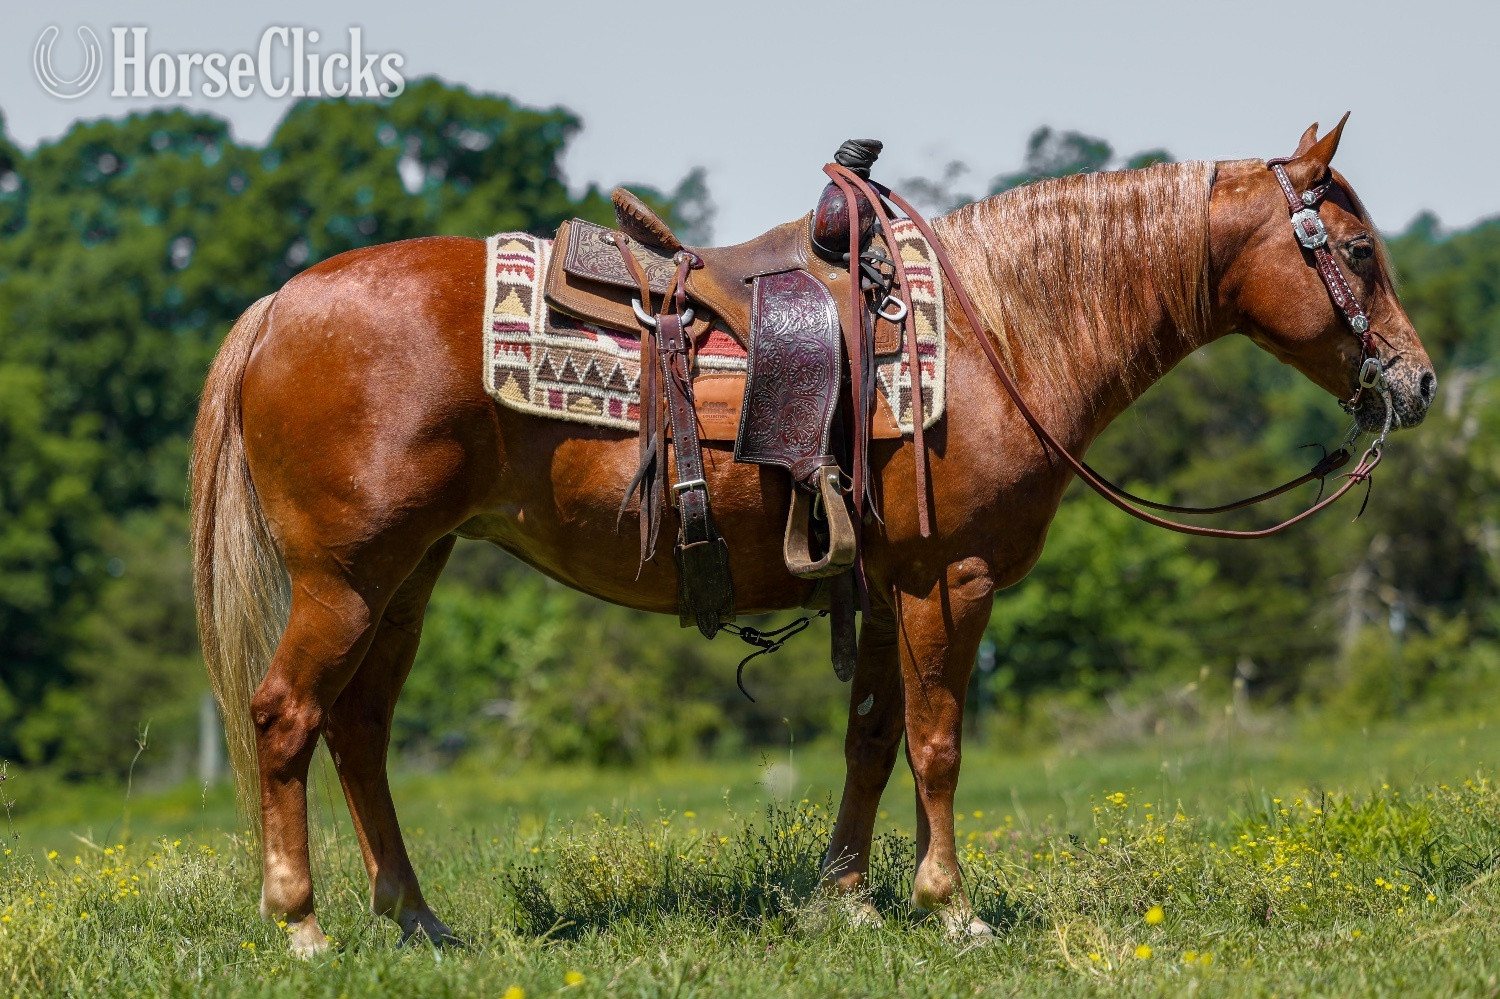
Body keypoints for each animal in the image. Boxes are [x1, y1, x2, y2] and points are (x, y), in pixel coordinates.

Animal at [191, 117, 1436, 953]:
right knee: (285, 715)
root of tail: (279, 306)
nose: (1418, 381)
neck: (998, 334)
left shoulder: (885, 588)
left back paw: (417, 922)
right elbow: (937, 742)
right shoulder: (949, 577)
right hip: (347, 577)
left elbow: (872, 737)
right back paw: (301, 924)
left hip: (410, 573)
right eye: (1357, 254)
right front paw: (952, 907)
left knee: (358, 729)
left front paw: (844, 898)